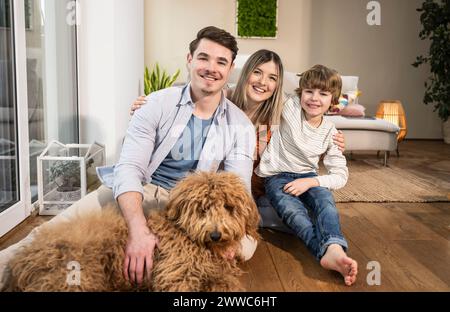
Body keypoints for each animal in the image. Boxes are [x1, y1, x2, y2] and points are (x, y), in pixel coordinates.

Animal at [2, 172, 260, 292]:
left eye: (229, 207)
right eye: (203, 208)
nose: (216, 235)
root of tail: (22, 262)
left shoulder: (216, 274)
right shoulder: (176, 275)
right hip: (77, 277)